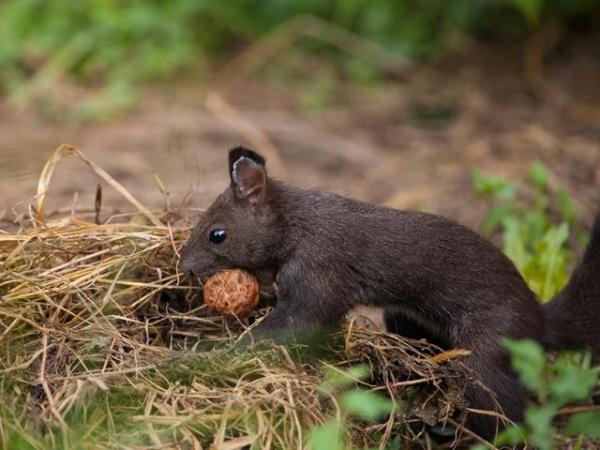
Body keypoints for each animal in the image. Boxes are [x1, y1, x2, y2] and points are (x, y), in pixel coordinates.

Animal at [182, 147, 600, 440]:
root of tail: (540, 319)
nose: (185, 264)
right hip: (407, 320)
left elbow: (282, 330)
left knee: (510, 418)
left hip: (485, 356)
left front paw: (204, 355)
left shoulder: (319, 279)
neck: (298, 225)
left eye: (217, 234)